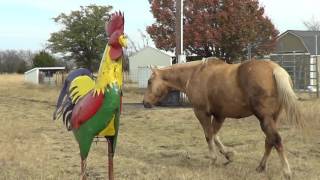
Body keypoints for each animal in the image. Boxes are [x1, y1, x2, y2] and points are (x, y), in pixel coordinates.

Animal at [142, 58, 302, 179]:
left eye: (149, 81)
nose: (145, 103)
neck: (195, 74)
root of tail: (276, 69)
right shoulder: (220, 115)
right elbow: (215, 134)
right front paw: (228, 155)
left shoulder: (201, 112)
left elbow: (208, 135)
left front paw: (213, 160)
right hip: (272, 118)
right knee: (269, 141)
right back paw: (260, 167)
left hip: (264, 118)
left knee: (276, 140)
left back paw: (286, 172)